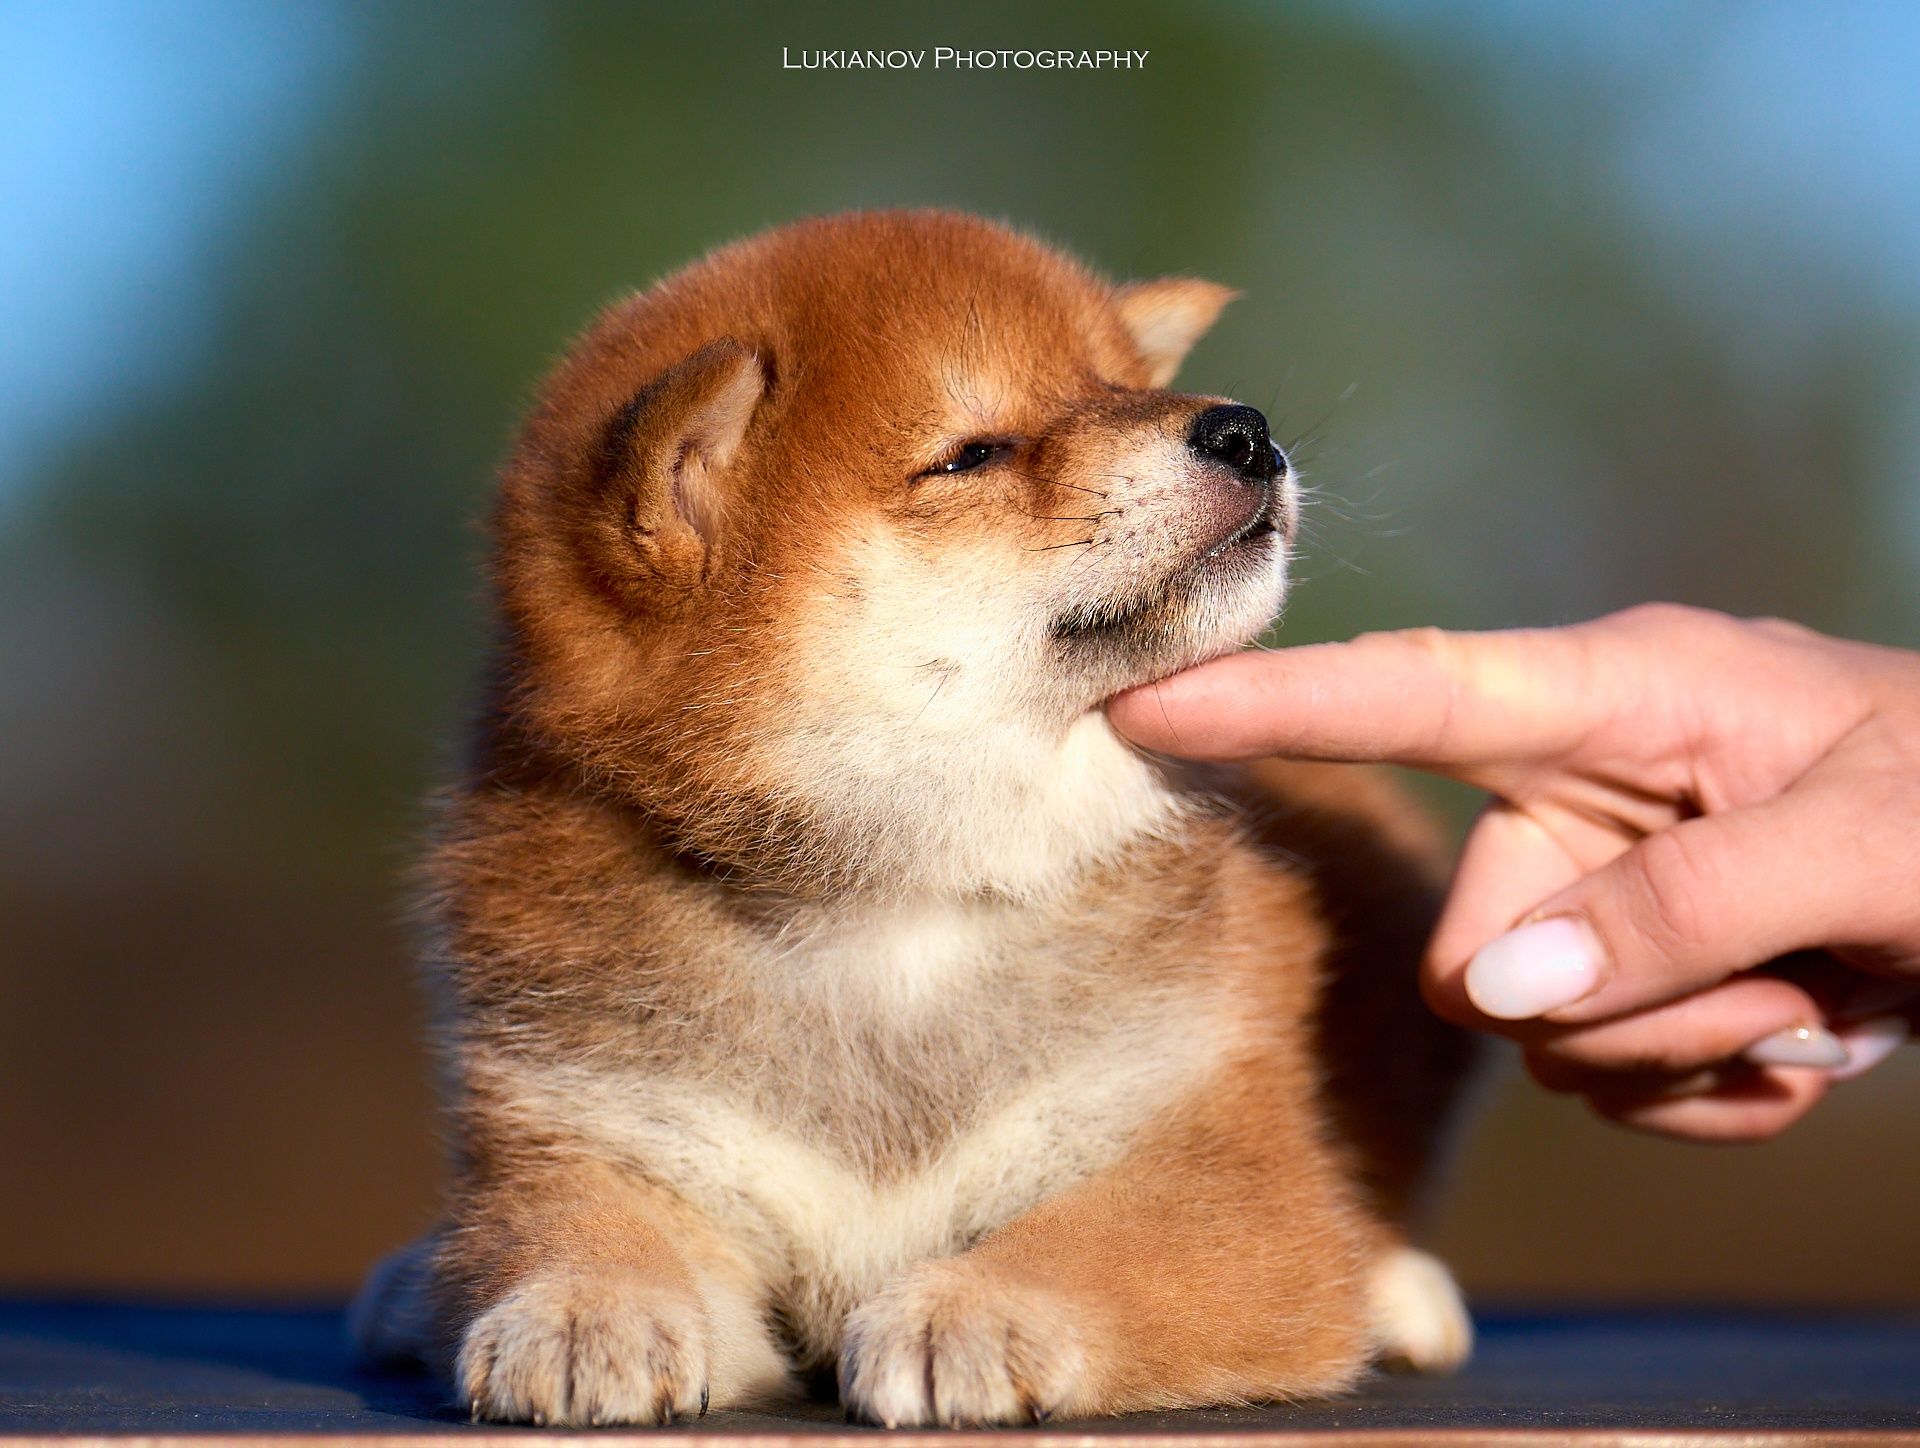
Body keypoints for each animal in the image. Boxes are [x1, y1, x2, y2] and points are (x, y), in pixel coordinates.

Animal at [353, 211, 1474, 1421]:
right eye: (972, 452)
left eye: (1117, 385)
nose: (1244, 428)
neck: (898, 901)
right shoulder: (596, 1123)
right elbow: (563, 1224)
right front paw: (578, 1307)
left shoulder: (1219, 1150)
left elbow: (1098, 1250)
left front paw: (971, 1312)